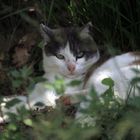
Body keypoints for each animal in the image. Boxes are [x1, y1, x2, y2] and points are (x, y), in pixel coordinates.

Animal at [0, 21, 140, 122]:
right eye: (60, 56)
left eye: (80, 54)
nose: (71, 67)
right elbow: (20, 98)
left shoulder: (45, 97)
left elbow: (26, 103)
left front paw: (5, 112)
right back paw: (66, 99)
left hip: (106, 77)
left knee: (107, 100)